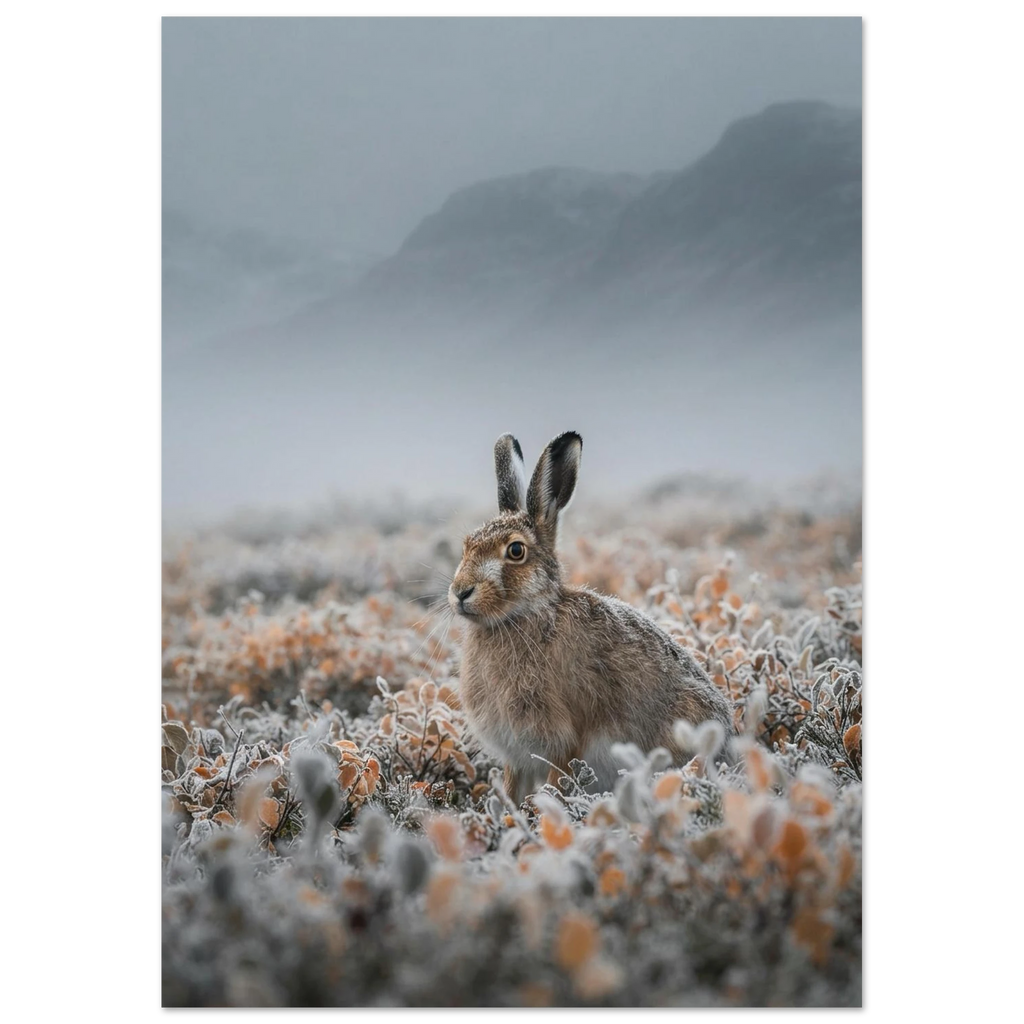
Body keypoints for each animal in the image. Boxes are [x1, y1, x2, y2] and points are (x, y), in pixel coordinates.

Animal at [450, 430, 734, 804]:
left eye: (516, 551)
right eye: (466, 545)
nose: (460, 592)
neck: (522, 615)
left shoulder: (561, 742)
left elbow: (555, 785)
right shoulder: (517, 754)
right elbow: (512, 789)